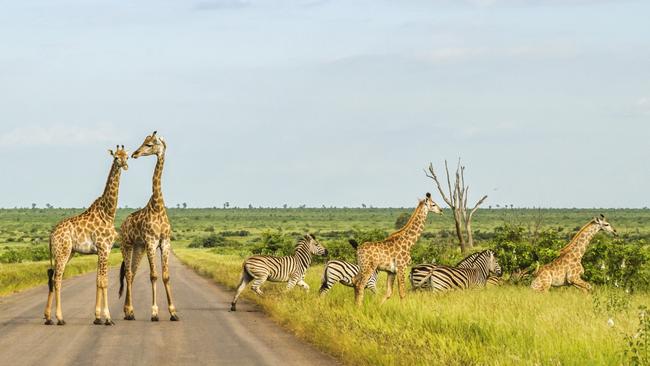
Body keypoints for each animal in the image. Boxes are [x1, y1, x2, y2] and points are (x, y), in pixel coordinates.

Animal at [43, 144, 129, 324]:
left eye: (127, 156)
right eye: (116, 157)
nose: (125, 165)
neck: (108, 213)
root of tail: (52, 233)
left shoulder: (100, 251)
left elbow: (98, 280)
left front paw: (97, 317)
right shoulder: (104, 249)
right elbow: (104, 281)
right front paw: (108, 318)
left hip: (67, 252)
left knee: (51, 276)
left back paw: (47, 317)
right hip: (62, 252)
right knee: (57, 279)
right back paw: (60, 318)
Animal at [117, 131, 178, 320]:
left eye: (150, 144)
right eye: (144, 142)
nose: (135, 154)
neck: (157, 206)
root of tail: (123, 224)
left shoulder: (165, 242)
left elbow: (165, 276)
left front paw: (173, 312)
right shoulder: (151, 242)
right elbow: (153, 276)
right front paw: (154, 312)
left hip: (139, 248)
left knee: (132, 273)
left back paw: (128, 311)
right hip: (126, 245)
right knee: (128, 273)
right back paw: (129, 311)